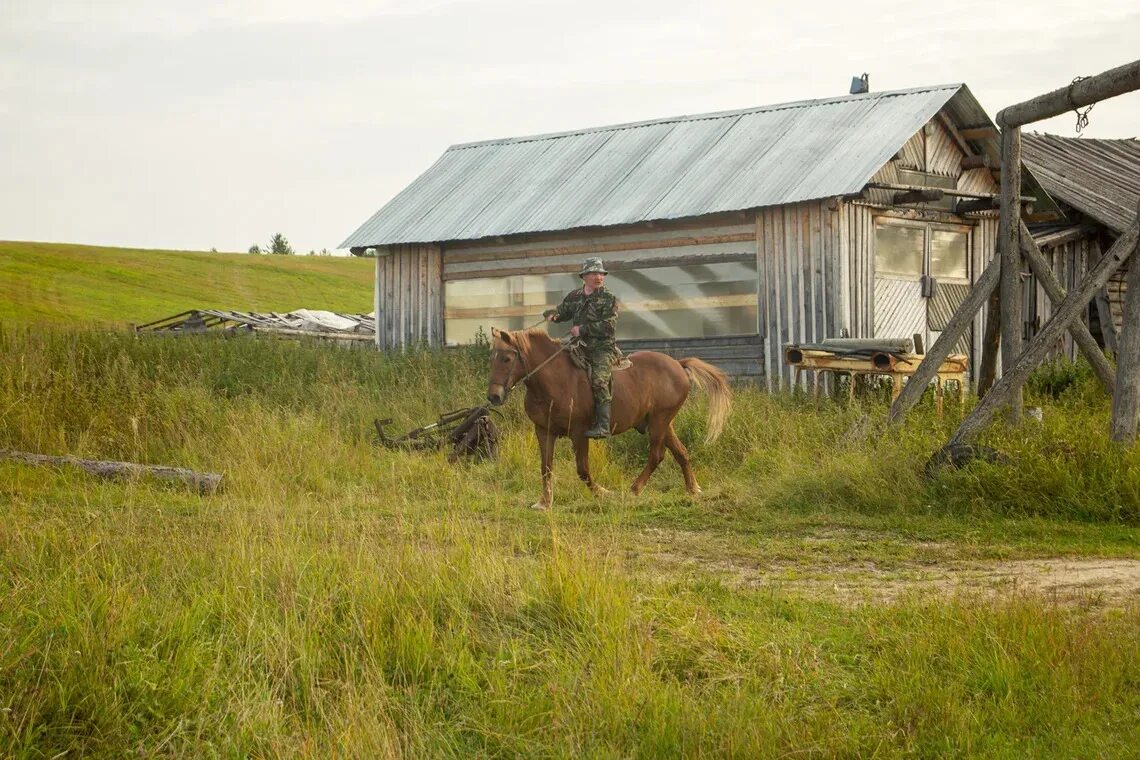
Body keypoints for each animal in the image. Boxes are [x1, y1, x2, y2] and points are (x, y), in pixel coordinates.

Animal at [487, 328, 734, 510]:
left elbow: (582, 469)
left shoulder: (579, 432)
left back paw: (635, 488)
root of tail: (678, 365)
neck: (555, 380)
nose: (493, 396)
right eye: (493, 358)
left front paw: (603, 493)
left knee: (657, 454)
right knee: (681, 452)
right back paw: (693, 489)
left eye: (507, 358)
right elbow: (546, 467)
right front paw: (544, 502)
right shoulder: (543, 431)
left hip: (659, 421)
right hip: (662, 423)